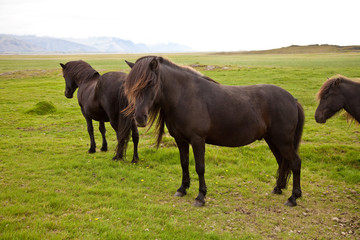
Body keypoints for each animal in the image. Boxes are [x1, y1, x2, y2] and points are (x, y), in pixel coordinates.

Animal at [124, 55, 304, 206]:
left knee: (295, 163)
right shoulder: (180, 140)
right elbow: (184, 164)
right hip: (272, 140)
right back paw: (278, 188)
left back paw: (293, 197)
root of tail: (293, 100)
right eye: (132, 86)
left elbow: (200, 167)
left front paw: (200, 196)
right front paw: (182, 189)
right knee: (282, 162)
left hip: (283, 141)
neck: (184, 96)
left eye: (151, 83)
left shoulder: (198, 140)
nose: (139, 118)